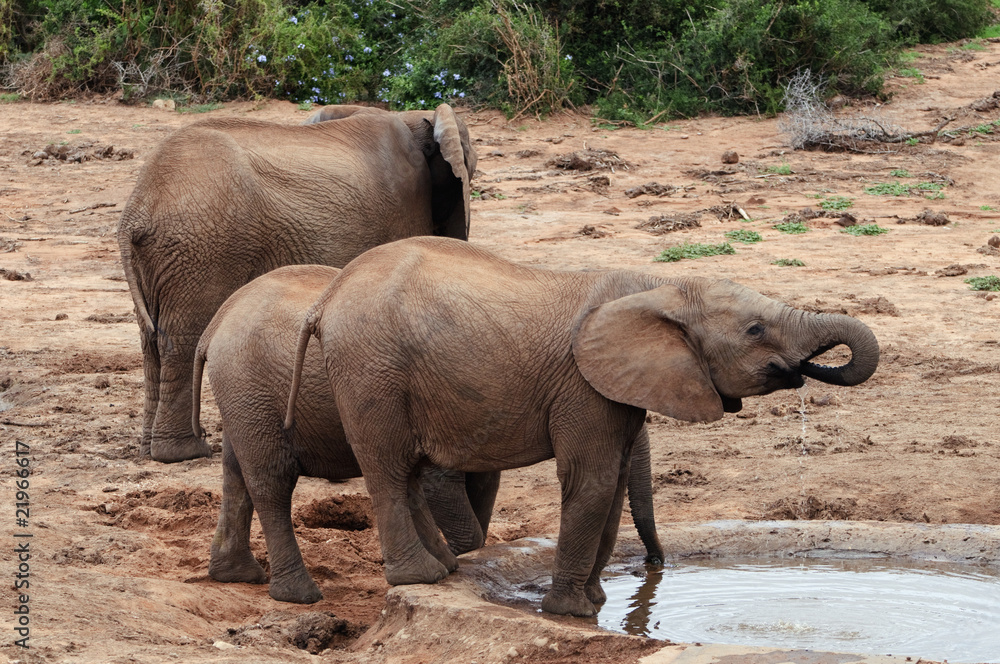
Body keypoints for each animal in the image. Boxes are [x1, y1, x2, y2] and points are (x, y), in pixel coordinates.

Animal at [118, 102, 477, 463]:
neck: (413, 116)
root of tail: (136, 210)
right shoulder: (405, 203)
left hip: (165, 253)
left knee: (151, 342)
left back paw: (151, 449)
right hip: (204, 245)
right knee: (181, 339)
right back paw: (186, 452)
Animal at [193, 264, 663, 603]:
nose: (653, 565)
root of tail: (213, 327)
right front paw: (462, 553)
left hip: (244, 395)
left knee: (237, 473)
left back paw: (237, 575)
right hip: (253, 385)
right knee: (274, 480)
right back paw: (302, 595)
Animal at [286, 236, 879, 617]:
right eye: (755, 330)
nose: (654, 565)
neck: (660, 286)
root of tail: (327, 297)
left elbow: (611, 486)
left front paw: (596, 605)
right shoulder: (582, 388)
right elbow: (590, 483)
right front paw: (570, 613)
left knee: (405, 470)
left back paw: (447, 567)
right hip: (370, 368)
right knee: (388, 467)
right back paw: (422, 578)